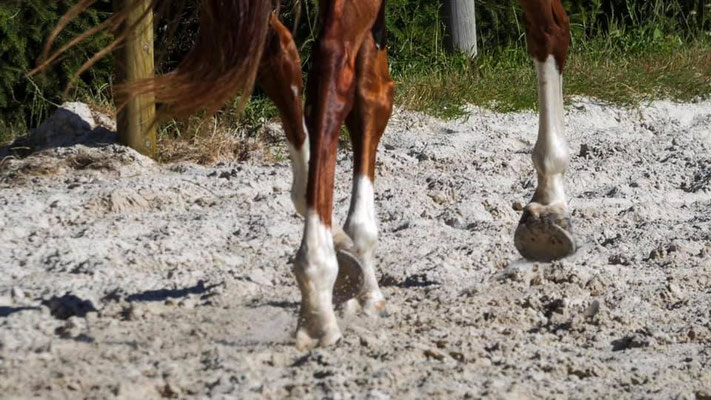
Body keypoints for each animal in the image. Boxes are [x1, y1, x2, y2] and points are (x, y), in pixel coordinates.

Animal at [38, 0, 575, 349]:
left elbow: (358, 90)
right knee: (332, 62)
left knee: (283, 53)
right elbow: (549, 30)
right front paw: (548, 207)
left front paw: (356, 261)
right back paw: (316, 293)